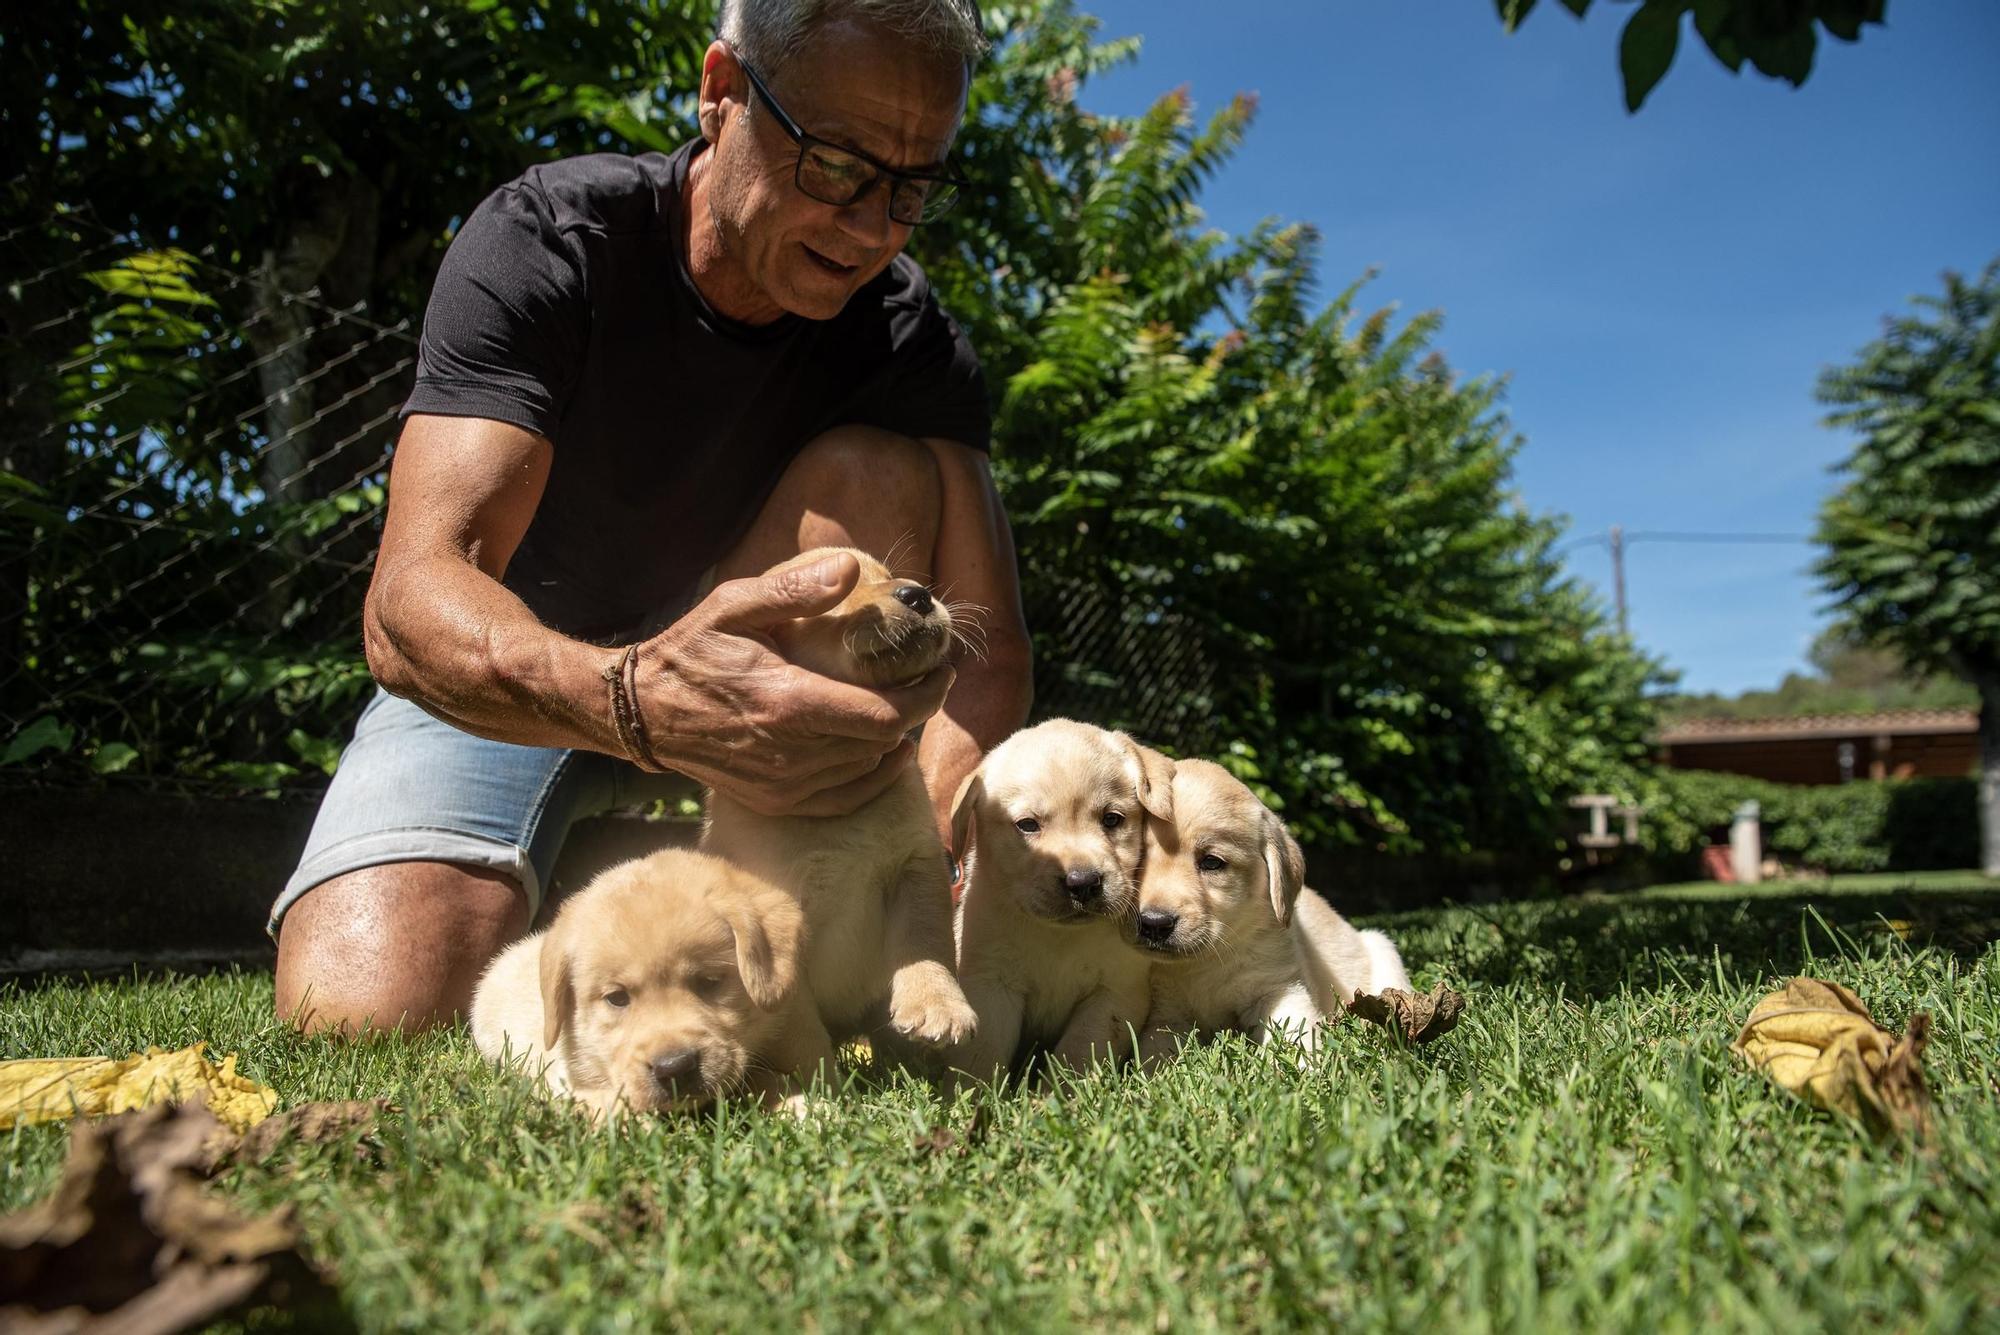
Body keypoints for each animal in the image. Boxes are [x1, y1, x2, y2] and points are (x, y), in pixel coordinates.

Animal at [470, 851, 828, 1119]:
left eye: (709, 981)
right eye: (617, 998)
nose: (674, 1068)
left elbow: (762, 1076)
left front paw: (802, 1107)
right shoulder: (561, 1072)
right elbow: (602, 1098)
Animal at [700, 543, 980, 1063]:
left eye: (888, 576)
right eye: (838, 593)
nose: (918, 594)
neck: (840, 816)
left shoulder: (916, 867)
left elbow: (925, 942)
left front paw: (937, 1005)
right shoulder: (774, 932)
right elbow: (802, 1035)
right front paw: (819, 1084)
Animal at [948, 719, 1176, 1087]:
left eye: (1112, 819)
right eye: (1027, 825)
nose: (1082, 883)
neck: (1060, 936)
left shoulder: (1113, 995)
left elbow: (1078, 1053)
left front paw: (1060, 1095)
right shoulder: (991, 985)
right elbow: (982, 1057)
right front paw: (972, 1098)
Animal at [1120, 755, 1416, 1055]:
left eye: (1212, 862)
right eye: (1139, 857)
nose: (1155, 924)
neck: (1206, 960)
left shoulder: (1279, 987)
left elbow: (1295, 1036)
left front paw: (1304, 1064)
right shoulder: (1166, 1014)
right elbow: (1155, 1055)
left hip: (1382, 950)